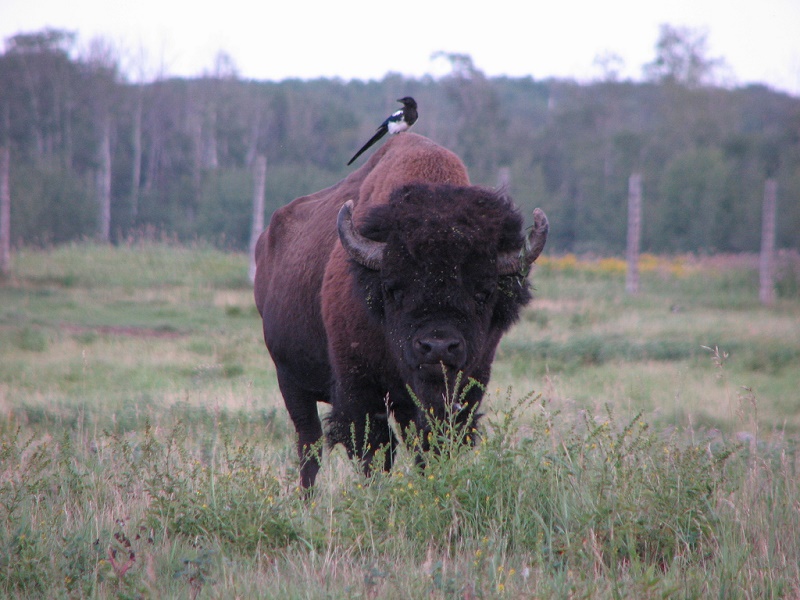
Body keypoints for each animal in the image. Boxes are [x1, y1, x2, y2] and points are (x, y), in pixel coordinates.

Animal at [253, 132, 548, 488]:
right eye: (394, 289)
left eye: (484, 292)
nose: (438, 347)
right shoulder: (361, 391)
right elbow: (374, 451)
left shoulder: (466, 388)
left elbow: (431, 444)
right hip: (291, 380)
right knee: (309, 444)